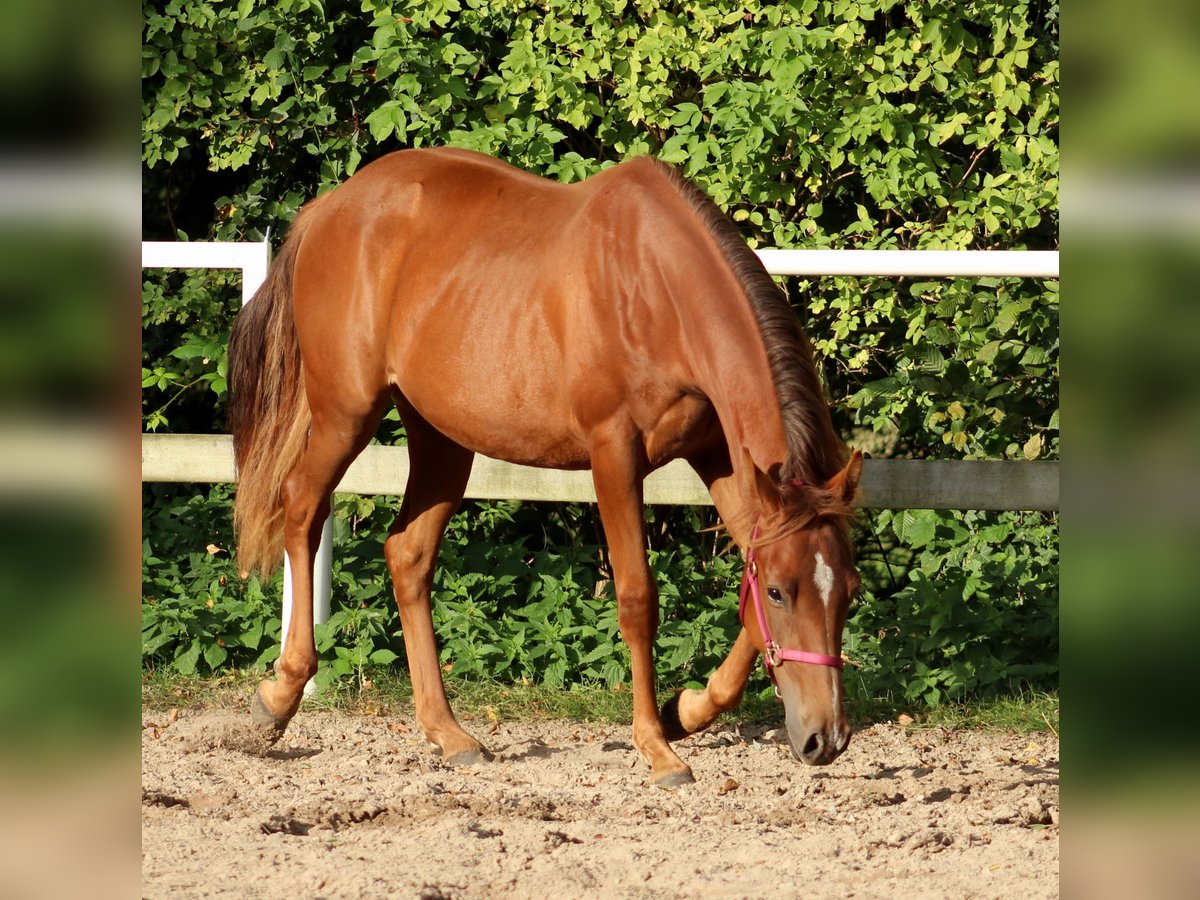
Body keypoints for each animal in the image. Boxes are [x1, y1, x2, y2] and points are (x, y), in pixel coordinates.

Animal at [226, 144, 864, 787]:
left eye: (850, 591)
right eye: (781, 593)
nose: (826, 739)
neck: (658, 289)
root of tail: (326, 210)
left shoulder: (720, 457)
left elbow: (744, 604)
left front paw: (684, 710)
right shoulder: (614, 455)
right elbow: (637, 598)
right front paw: (657, 746)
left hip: (441, 440)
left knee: (407, 555)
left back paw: (448, 732)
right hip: (346, 413)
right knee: (301, 505)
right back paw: (278, 698)